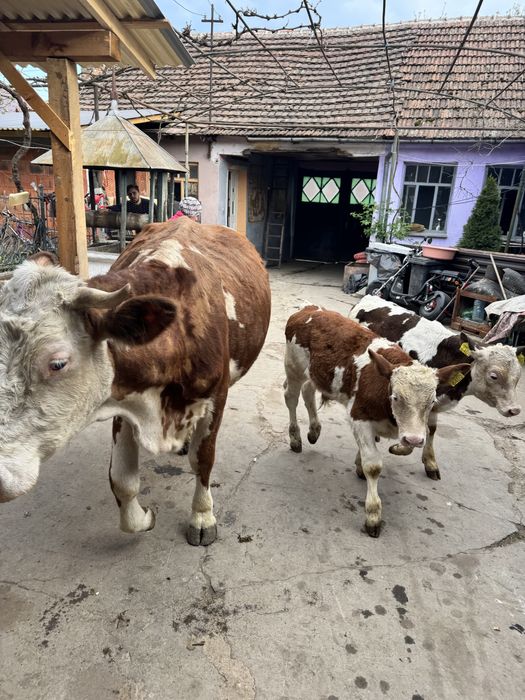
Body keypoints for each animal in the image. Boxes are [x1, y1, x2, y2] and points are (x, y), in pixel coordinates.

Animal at [0, 219, 271, 546]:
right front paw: (143, 519)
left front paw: (202, 516)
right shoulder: (123, 402)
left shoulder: (216, 396)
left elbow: (203, 460)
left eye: (58, 363)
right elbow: (122, 480)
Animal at [284, 306, 469, 537]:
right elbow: (373, 465)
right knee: (291, 397)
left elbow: (407, 443)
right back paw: (295, 437)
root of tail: (311, 308)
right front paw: (373, 515)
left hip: (315, 374)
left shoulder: (410, 429)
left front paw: (371, 460)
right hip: (293, 367)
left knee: (308, 392)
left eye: (432, 401)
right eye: (396, 397)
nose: (414, 439)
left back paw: (314, 430)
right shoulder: (359, 417)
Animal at [350, 295, 524, 479]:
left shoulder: (432, 403)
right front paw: (400, 448)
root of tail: (371, 296)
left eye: (518, 375)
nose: (514, 410)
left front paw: (430, 462)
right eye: (494, 376)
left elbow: (431, 429)